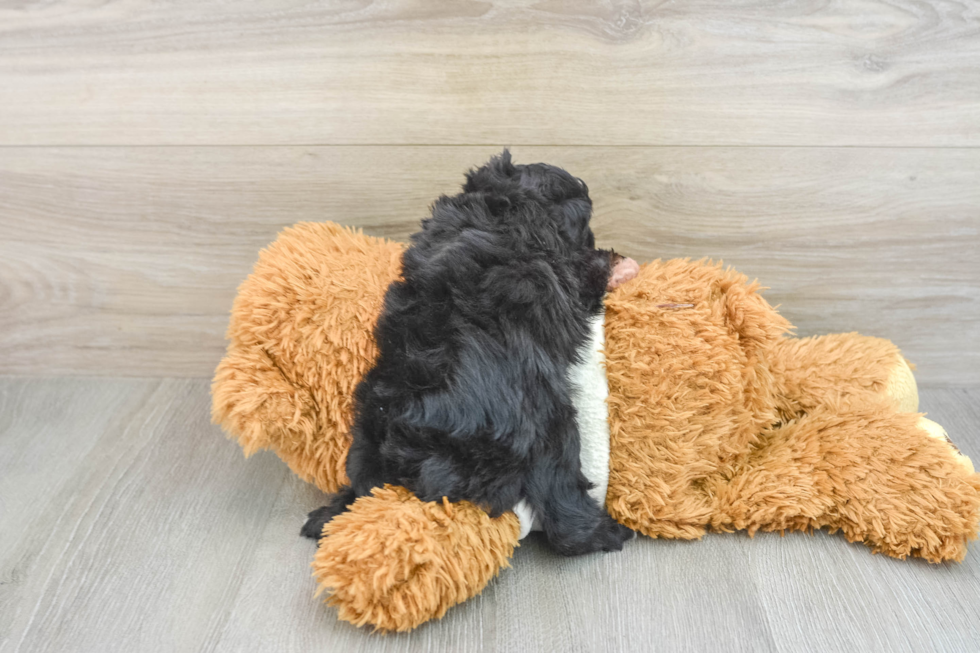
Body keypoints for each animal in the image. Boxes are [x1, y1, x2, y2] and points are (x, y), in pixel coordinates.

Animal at [300, 153, 636, 556]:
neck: (504, 207)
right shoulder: (567, 277)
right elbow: (587, 274)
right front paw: (616, 264)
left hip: (367, 438)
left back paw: (328, 514)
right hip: (550, 425)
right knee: (562, 506)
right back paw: (607, 533)